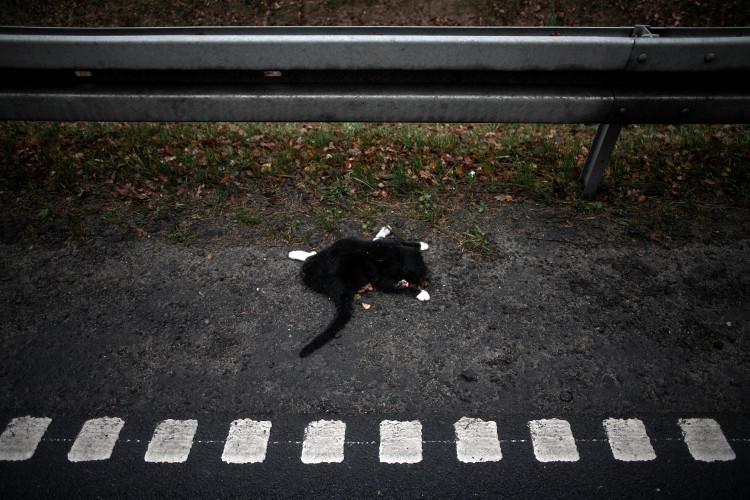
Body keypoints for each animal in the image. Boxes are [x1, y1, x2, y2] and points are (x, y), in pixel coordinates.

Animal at [297, 235, 430, 357]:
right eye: (417, 277)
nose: (426, 280)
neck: (396, 257)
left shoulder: (389, 244)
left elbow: (400, 240)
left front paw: (421, 244)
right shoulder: (383, 282)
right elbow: (402, 288)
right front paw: (420, 293)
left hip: (343, 244)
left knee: (311, 257)